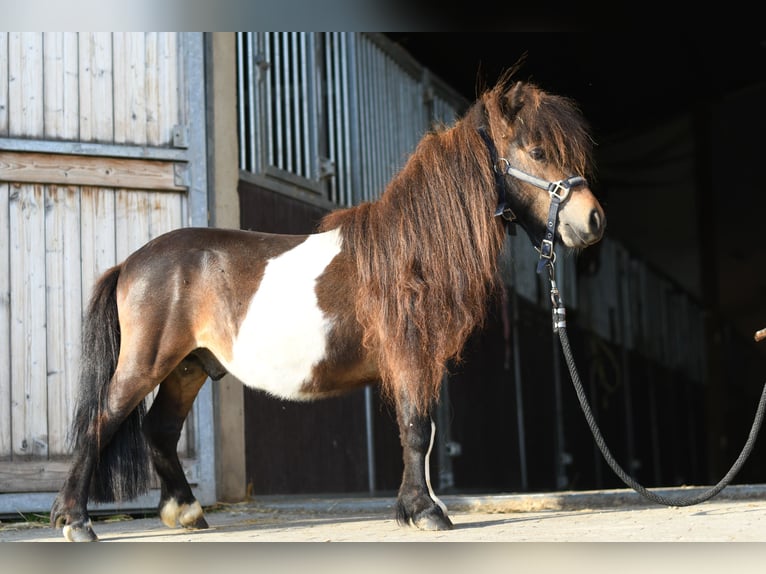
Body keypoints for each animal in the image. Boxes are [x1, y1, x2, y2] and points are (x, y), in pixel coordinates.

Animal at [50, 71, 605, 541]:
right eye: (537, 150)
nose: (593, 220)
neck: (412, 250)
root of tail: (130, 263)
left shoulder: (420, 361)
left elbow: (420, 433)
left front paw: (419, 507)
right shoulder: (409, 356)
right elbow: (416, 429)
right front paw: (425, 512)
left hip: (187, 366)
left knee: (159, 429)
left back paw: (185, 512)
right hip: (147, 361)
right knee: (103, 419)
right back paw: (76, 521)